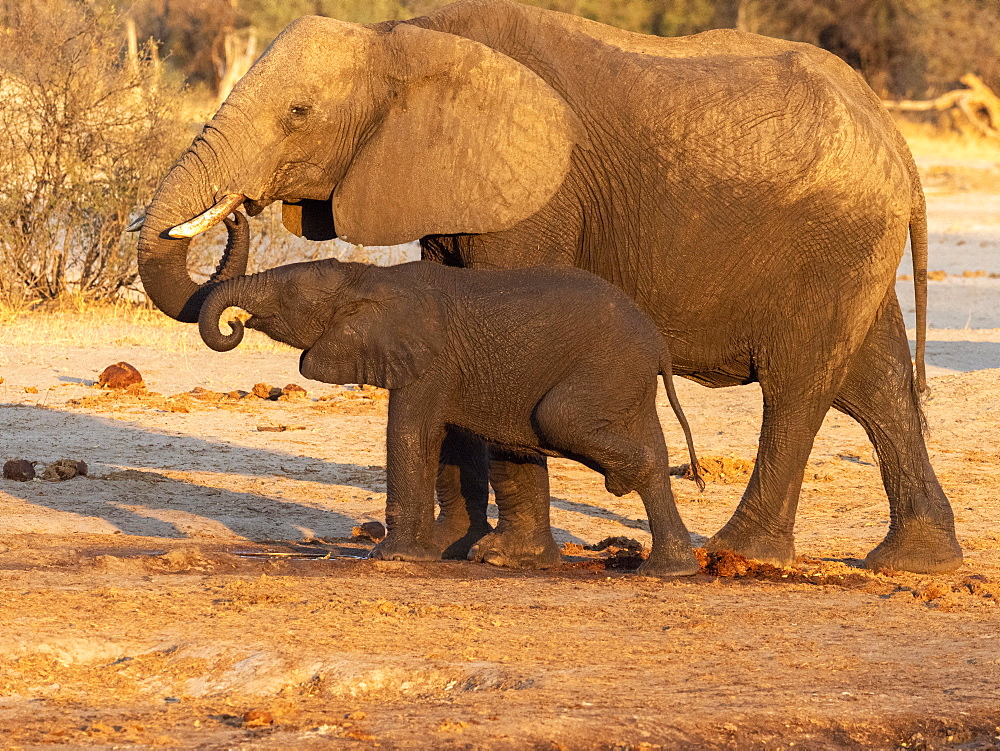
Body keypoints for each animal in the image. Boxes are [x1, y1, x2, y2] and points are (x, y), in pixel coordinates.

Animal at [197, 258, 704, 576]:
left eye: (288, 295)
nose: (235, 322)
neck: (365, 278)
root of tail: (659, 346)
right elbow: (439, 441)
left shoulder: (426, 359)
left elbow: (409, 433)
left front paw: (392, 558)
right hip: (625, 376)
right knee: (651, 446)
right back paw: (669, 570)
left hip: (609, 366)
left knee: (561, 420)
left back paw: (623, 485)